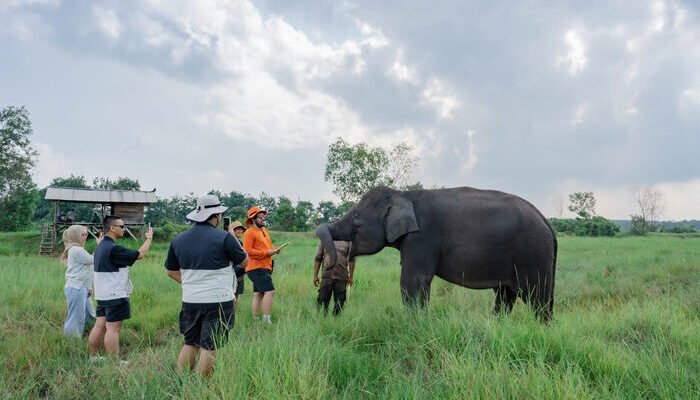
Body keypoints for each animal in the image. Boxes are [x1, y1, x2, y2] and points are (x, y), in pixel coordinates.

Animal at [318, 186, 556, 320]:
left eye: (356, 217)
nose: (333, 263)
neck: (404, 195)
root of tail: (546, 221)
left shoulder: (422, 236)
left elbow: (412, 281)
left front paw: (414, 324)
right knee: (506, 296)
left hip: (534, 256)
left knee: (538, 299)